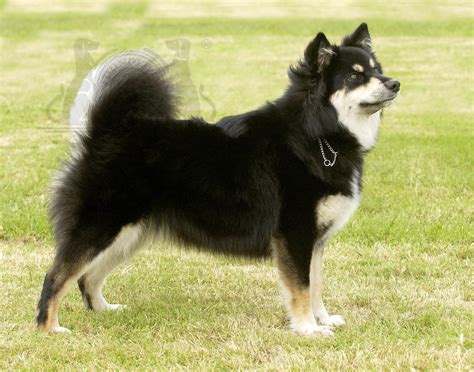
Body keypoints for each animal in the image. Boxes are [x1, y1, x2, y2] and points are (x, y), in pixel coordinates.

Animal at [37, 24, 400, 338]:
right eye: (355, 76)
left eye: (377, 69)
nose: (395, 83)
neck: (317, 134)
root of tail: (104, 134)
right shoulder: (295, 234)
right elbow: (300, 288)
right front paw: (308, 329)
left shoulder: (315, 240)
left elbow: (316, 286)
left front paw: (322, 319)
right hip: (102, 227)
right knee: (57, 276)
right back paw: (49, 328)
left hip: (128, 235)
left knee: (88, 278)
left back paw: (104, 309)